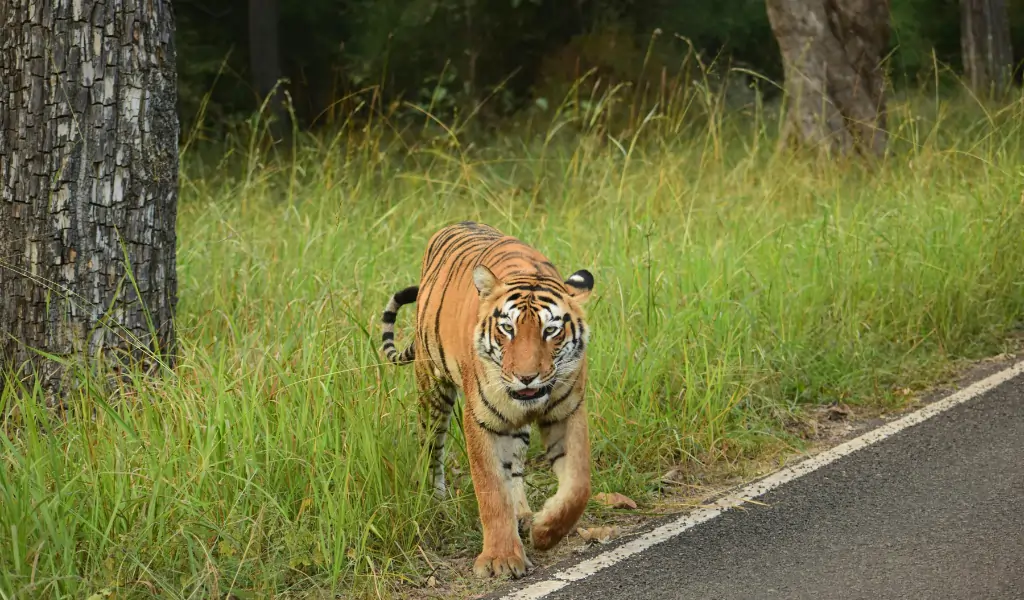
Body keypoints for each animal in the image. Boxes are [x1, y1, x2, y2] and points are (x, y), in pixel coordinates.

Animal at [380, 221, 595, 579]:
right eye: (507, 328)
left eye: (550, 331)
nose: (526, 377)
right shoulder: (481, 419)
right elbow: (490, 487)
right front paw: (500, 559)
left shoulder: (567, 410)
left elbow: (578, 485)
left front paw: (545, 532)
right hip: (432, 388)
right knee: (431, 448)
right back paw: (436, 504)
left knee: (515, 468)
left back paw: (522, 514)